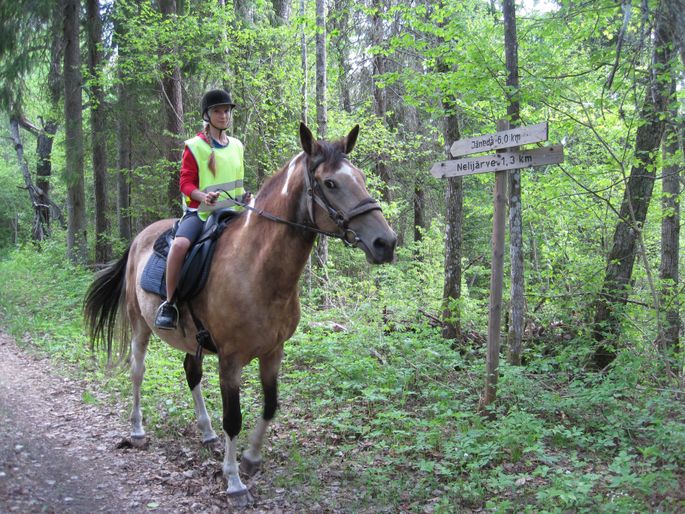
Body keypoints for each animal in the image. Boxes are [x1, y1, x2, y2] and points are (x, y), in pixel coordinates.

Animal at [83, 122, 396, 502]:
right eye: (331, 183)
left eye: (361, 177)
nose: (386, 242)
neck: (258, 270)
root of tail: (140, 237)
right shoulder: (230, 360)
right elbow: (234, 418)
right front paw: (233, 481)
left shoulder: (274, 352)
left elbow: (270, 405)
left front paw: (250, 458)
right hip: (139, 324)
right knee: (137, 372)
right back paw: (138, 431)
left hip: (193, 340)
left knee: (191, 372)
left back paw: (206, 433)